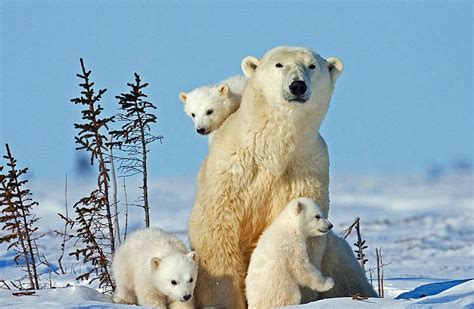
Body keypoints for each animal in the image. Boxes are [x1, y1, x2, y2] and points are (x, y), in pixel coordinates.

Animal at [187, 44, 376, 306]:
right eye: (279, 64)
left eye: (311, 65)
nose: (297, 86)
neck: (274, 147)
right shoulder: (231, 171)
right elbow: (217, 230)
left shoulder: (307, 167)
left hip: (339, 257)